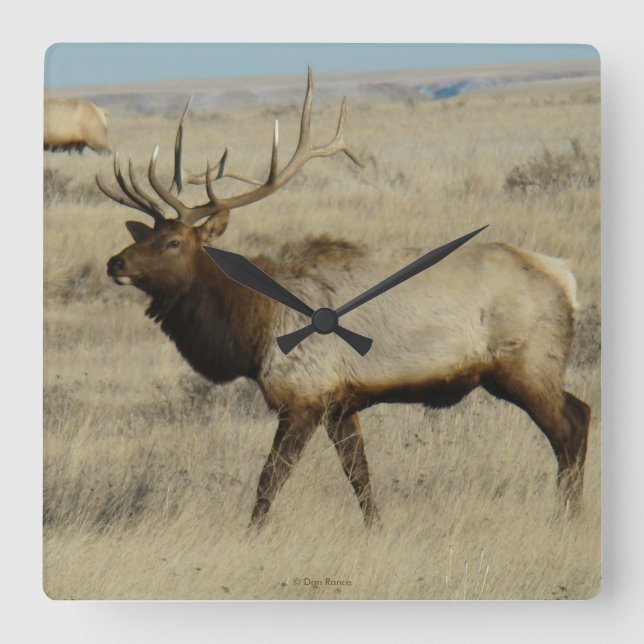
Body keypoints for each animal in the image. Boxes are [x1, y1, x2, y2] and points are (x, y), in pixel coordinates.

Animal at [98, 70, 590, 528]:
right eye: (145, 236)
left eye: (174, 242)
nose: (115, 262)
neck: (251, 327)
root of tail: (565, 276)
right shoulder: (340, 401)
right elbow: (359, 476)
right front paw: (375, 529)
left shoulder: (304, 394)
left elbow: (270, 478)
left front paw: (251, 534)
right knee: (580, 415)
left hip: (526, 363)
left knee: (571, 425)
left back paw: (567, 517)